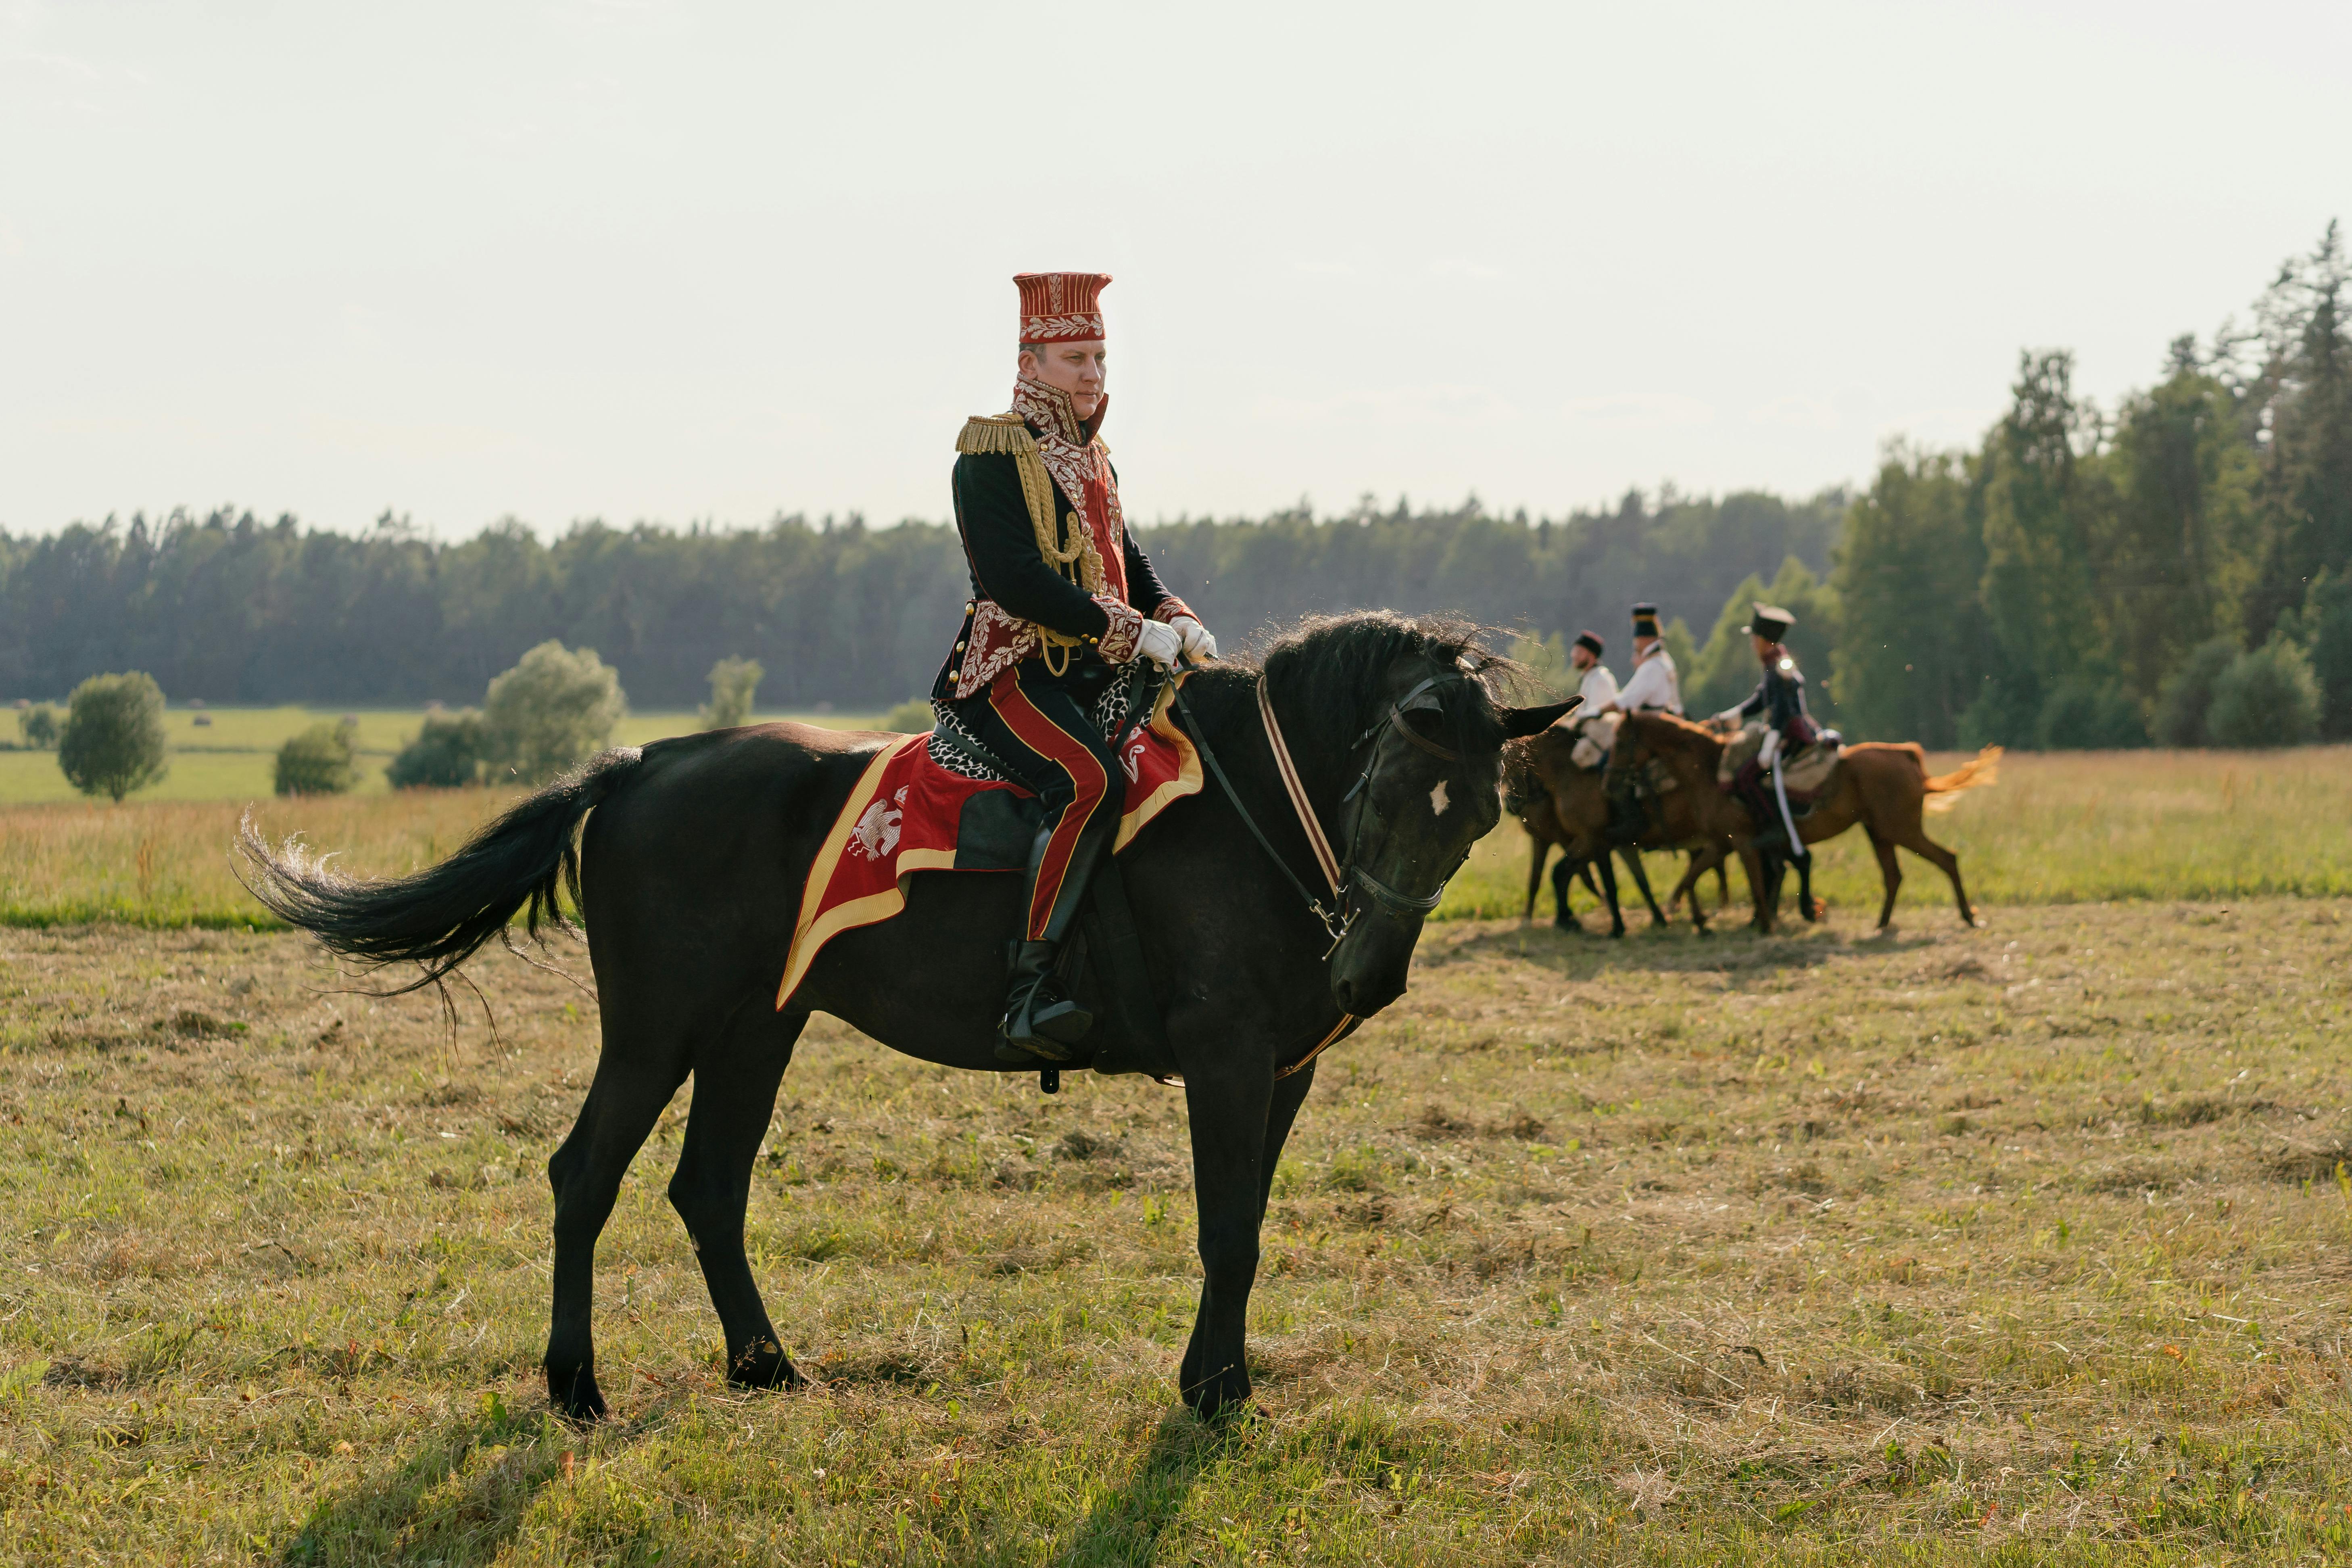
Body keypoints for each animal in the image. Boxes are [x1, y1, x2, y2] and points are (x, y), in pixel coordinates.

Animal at [238, 611, 1561, 1420]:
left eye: (1479, 817)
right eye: (1389, 787)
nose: (1366, 980)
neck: (1249, 810)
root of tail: (639, 766)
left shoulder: (1284, 1068)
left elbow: (1248, 1225)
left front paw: (1222, 1380)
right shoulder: (1226, 1057)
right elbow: (1225, 1228)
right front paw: (1212, 1389)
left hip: (754, 1028)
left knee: (706, 1187)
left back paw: (765, 1365)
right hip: (659, 1027)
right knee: (587, 1173)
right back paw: (576, 1384)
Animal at [1599, 719, 2004, 940]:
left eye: (1620, 740)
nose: (1609, 782)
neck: (1709, 773)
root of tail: (1904, 754)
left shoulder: (1740, 843)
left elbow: (1753, 883)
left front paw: (1763, 924)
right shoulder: (1723, 844)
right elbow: (1693, 878)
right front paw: (1700, 919)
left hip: (1900, 830)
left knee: (1946, 859)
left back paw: (1968, 916)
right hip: (1880, 833)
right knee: (1894, 875)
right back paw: (1881, 924)